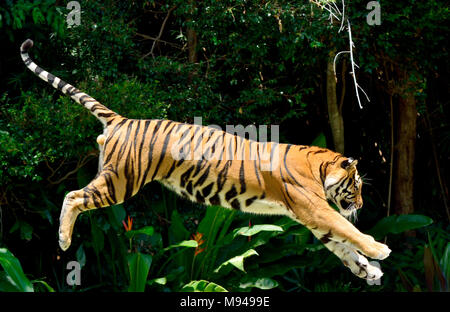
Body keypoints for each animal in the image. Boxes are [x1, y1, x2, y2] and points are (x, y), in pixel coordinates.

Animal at [20, 38, 390, 280]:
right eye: (356, 185)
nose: (360, 204)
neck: (319, 166)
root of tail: (122, 120)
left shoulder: (309, 218)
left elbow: (342, 246)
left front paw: (367, 270)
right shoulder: (314, 209)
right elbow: (347, 230)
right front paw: (378, 251)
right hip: (120, 182)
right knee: (72, 196)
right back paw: (64, 240)